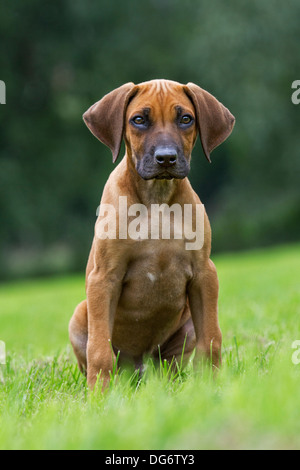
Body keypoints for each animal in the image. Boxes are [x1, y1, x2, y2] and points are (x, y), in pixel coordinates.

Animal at [69, 80, 236, 390]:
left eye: (186, 119)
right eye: (138, 120)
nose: (166, 158)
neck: (156, 198)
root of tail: (138, 368)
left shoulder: (204, 274)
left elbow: (211, 339)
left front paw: (212, 386)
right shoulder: (104, 277)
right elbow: (99, 349)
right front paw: (99, 395)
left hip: (185, 326)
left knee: (170, 364)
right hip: (79, 315)